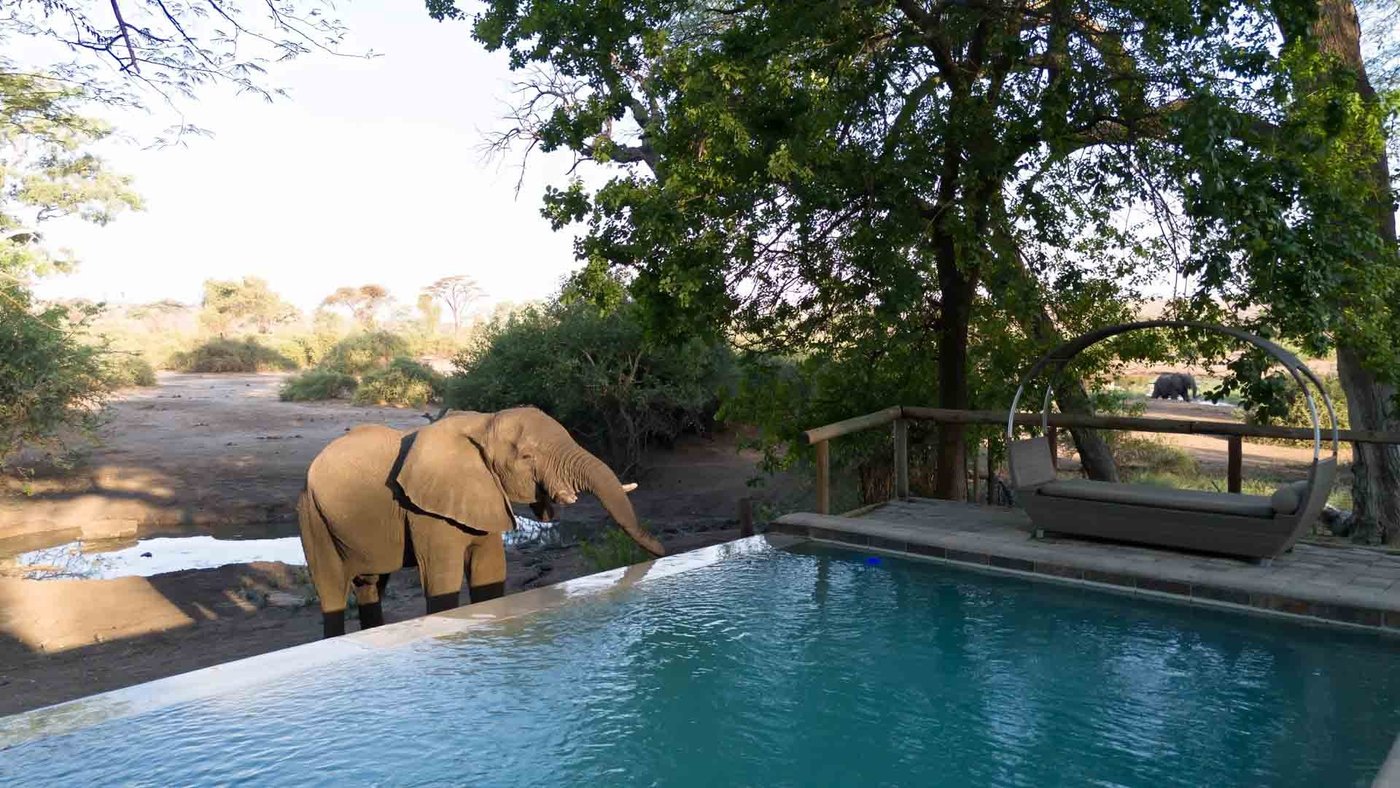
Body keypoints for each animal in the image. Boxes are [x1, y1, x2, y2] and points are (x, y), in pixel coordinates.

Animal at [296, 407, 666, 639]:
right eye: (527, 457)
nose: (662, 553)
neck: (483, 424)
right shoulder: (424, 508)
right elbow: (442, 577)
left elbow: (489, 571)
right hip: (311, 515)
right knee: (332, 590)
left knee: (371, 583)